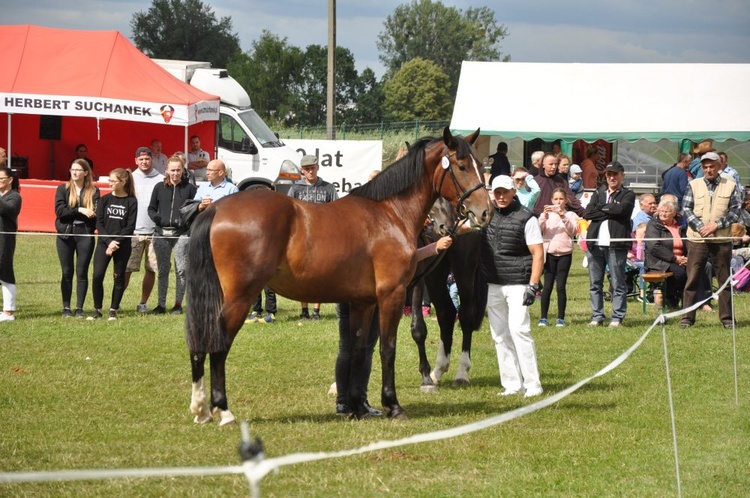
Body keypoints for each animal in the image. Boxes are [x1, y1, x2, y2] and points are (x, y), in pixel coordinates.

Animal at [186, 127, 494, 424]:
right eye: (462, 166)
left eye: (481, 165)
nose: (485, 212)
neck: (390, 213)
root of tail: (216, 207)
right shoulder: (392, 295)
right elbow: (387, 349)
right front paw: (393, 405)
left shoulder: (363, 302)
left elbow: (358, 350)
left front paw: (358, 407)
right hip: (240, 296)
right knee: (218, 343)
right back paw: (222, 410)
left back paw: (201, 409)